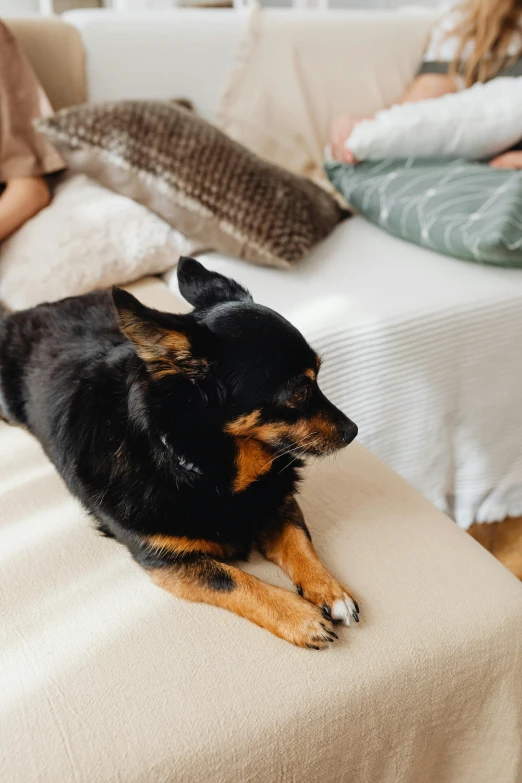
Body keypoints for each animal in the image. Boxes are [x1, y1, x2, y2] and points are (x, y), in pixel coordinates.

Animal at [0, 260, 358, 648]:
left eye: (318, 377)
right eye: (300, 391)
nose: (354, 431)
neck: (212, 474)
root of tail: (25, 312)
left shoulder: (280, 505)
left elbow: (301, 544)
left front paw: (331, 590)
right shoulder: (168, 560)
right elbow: (235, 580)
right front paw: (300, 617)